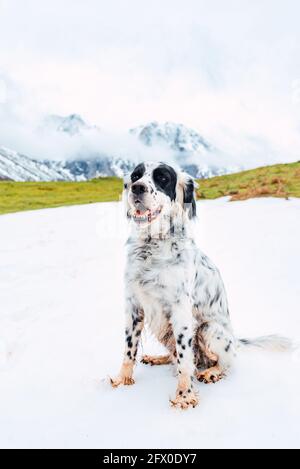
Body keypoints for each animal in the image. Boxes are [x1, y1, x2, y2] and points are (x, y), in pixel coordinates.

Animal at [110, 162, 290, 410]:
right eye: (136, 176)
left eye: (162, 178)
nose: (137, 188)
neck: (152, 246)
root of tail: (235, 340)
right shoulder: (134, 307)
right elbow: (129, 349)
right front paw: (123, 379)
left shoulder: (181, 312)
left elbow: (186, 359)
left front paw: (185, 395)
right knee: (176, 355)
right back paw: (158, 358)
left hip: (209, 329)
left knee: (226, 362)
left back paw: (212, 372)